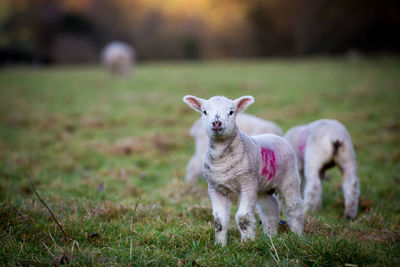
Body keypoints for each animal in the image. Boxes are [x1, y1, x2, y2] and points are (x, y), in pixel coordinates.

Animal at [182, 96, 304, 247]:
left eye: (231, 112)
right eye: (204, 111)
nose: (216, 123)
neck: (223, 160)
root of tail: (276, 137)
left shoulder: (247, 182)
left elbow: (243, 217)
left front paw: (247, 243)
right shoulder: (215, 187)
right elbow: (219, 221)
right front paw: (220, 245)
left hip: (289, 178)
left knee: (294, 207)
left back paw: (298, 235)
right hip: (263, 187)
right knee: (270, 209)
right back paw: (271, 236)